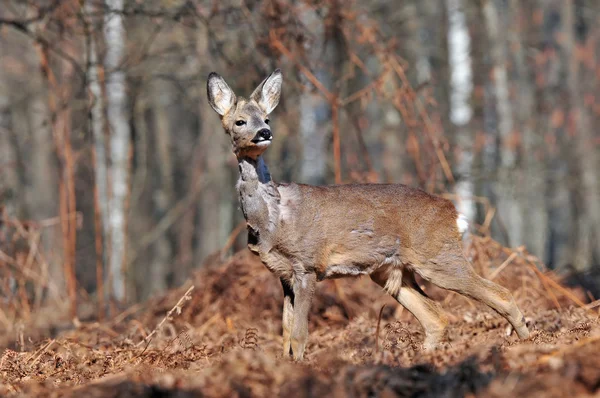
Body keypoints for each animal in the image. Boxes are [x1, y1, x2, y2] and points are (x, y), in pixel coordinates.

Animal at [206, 68, 528, 360]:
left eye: (267, 118)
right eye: (240, 121)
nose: (264, 133)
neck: (273, 219)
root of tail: (452, 213)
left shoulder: (307, 264)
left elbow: (299, 334)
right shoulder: (283, 274)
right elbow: (285, 332)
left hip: (438, 256)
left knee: (500, 293)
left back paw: (527, 340)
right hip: (391, 271)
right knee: (436, 316)